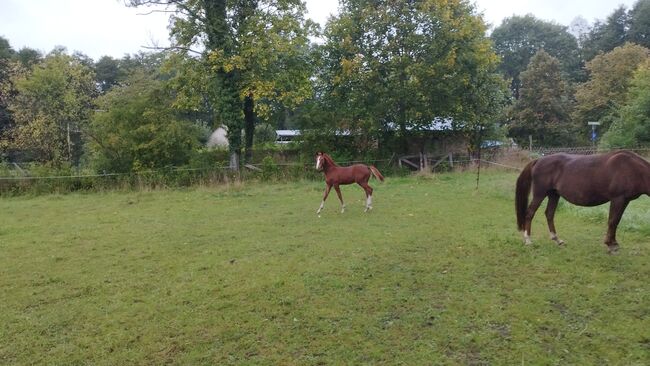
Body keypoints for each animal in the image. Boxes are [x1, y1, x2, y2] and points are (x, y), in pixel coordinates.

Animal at [516, 150, 648, 253]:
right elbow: (613, 221)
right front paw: (611, 245)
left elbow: (616, 221)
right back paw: (528, 240)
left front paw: (613, 243)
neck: (633, 169)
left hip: (554, 195)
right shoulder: (618, 199)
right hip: (540, 194)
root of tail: (538, 160)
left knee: (549, 214)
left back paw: (557, 239)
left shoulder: (625, 200)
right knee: (530, 213)